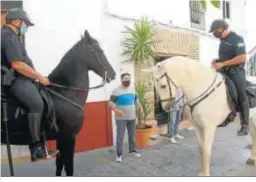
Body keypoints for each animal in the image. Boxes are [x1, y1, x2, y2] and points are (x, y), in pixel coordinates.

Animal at [1, 30, 116, 176]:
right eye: (99, 51)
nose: (113, 74)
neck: (65, 92)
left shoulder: (61, 139)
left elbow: (59, 166)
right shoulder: (69, 137)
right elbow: (69, 167)